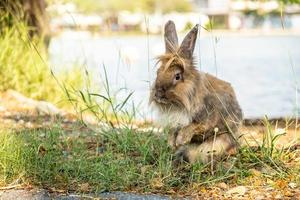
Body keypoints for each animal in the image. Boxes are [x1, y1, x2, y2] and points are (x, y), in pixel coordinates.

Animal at [149, 20, 243, 164]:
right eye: (158, 73)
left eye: (177, 76)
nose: (158, 94)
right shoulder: (174, 123)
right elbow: (172, 132)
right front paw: (172, 144)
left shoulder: (206, 120)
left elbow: (193, 126)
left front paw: (181, 140)